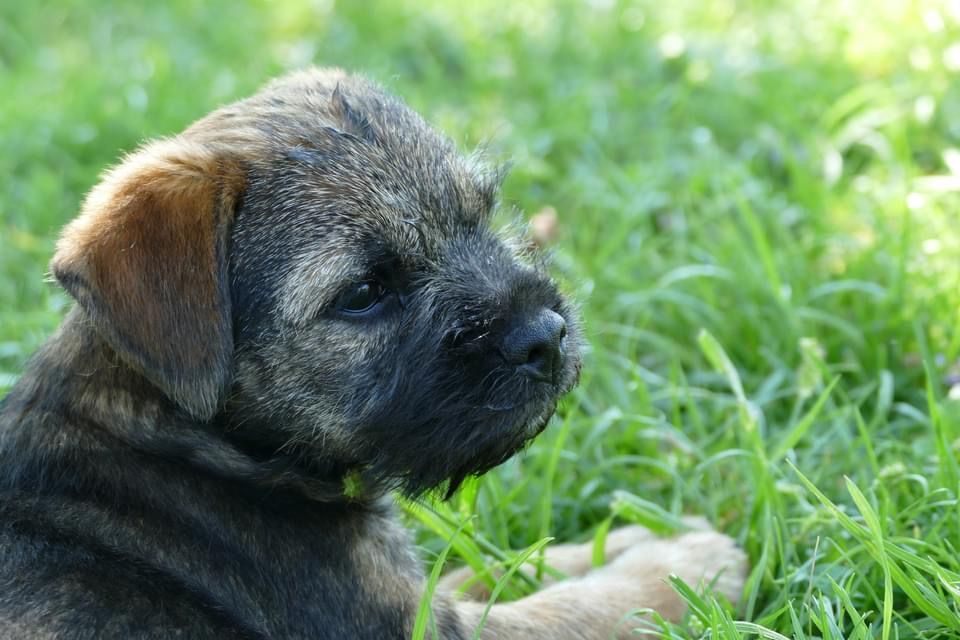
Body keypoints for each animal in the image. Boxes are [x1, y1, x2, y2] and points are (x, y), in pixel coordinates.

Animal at [0, 68, 747, 639]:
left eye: (479, 216)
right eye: (363, 292)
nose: (545, 334)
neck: (183, 438)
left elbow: (491, 568)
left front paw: (634, 536)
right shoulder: (419, 624)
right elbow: (574, 611)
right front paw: (688, 564)